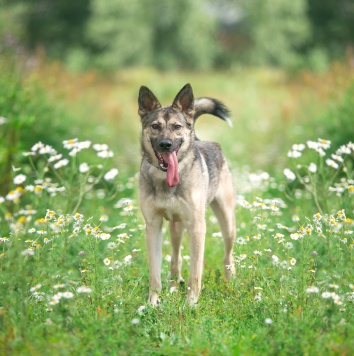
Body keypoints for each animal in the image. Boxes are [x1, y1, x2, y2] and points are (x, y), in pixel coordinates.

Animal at [138, 83, 235, 306]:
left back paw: (230, 282)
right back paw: (174, 286)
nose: (166, 144)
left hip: (227, 223)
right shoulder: (153, 226)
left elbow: (195, 273)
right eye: (155, 126)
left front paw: (191, 303)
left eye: (177, 127)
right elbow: (155, 273)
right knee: (176, 257)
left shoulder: (197, 227)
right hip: (176, 226)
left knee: (227, 256)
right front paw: (152, 303)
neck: (166, 179)